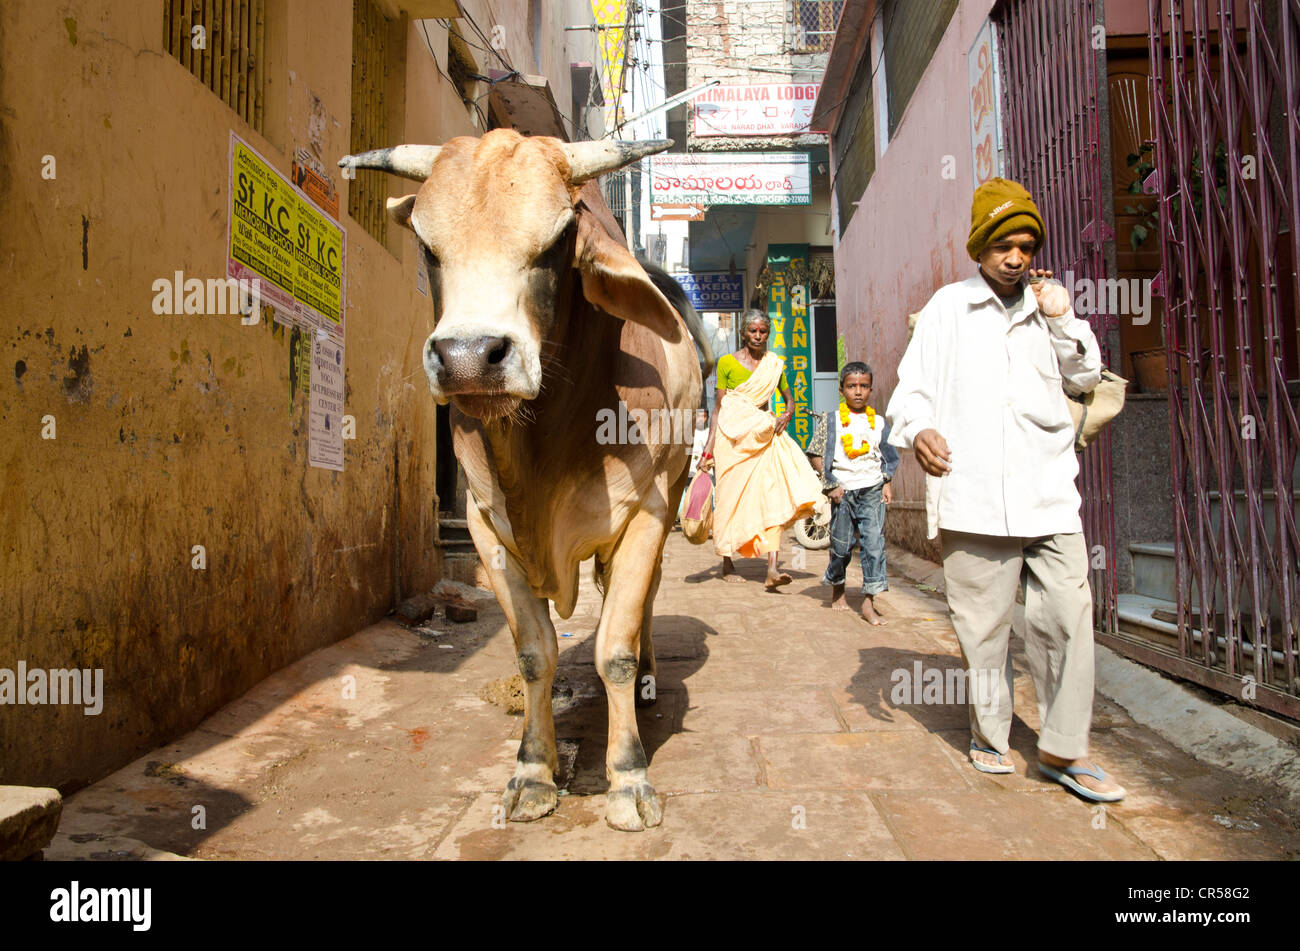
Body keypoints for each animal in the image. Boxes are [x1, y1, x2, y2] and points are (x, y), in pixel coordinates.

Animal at [340, 129, 712, 826]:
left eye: (560, 236)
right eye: (426, 244)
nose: (468, 357)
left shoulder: (645, 513)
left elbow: (615, 651)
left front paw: (628, 777)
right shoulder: (487, 528)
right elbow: (535, 653)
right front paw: (534, 771)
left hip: (671, 496)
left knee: (643, 608)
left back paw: (649, 681)